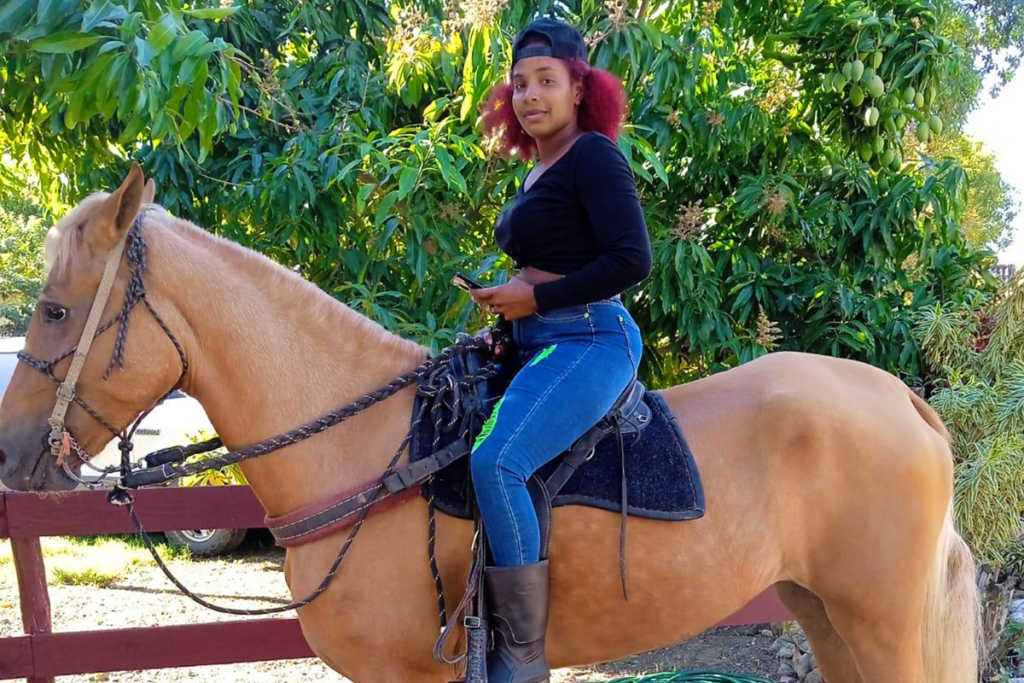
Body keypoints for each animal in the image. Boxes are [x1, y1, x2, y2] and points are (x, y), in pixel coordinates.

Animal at [0, 165, 981, 683]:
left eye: (54, 312)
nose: (11, 453)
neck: (372, 453)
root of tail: (902, 399)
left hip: (879, 620)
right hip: (824, 611)